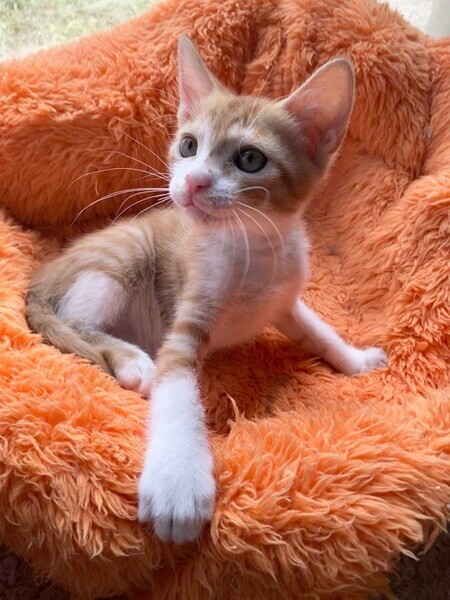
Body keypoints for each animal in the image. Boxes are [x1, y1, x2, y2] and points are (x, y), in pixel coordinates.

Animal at [26, 36, 388, 544]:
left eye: (250, 159)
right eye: (188, 145)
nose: (193, 181)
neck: (253, 251)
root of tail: (38, 279)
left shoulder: (284, 301)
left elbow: (317, 329)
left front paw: (355, 359)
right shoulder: (188, 316)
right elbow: (178, 391)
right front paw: (178, 481)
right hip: (124, 251)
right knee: (74, 323)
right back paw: (132, 361)